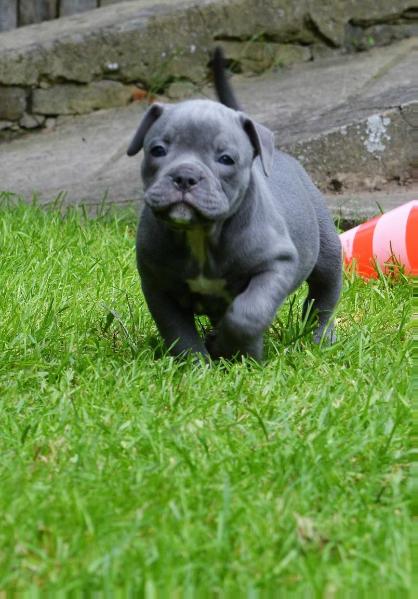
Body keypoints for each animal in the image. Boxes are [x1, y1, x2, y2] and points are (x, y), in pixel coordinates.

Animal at [128, 48, 342, 360]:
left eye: (226, 159)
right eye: (157, 150)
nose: (185, 176)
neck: (201, 235)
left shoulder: (275, 265)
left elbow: (247, 315)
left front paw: (236, 353)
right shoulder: (158, 287)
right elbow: (179, 334)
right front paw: (198, 364)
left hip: (327, 250)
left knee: (323, 296)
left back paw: (320, 337)